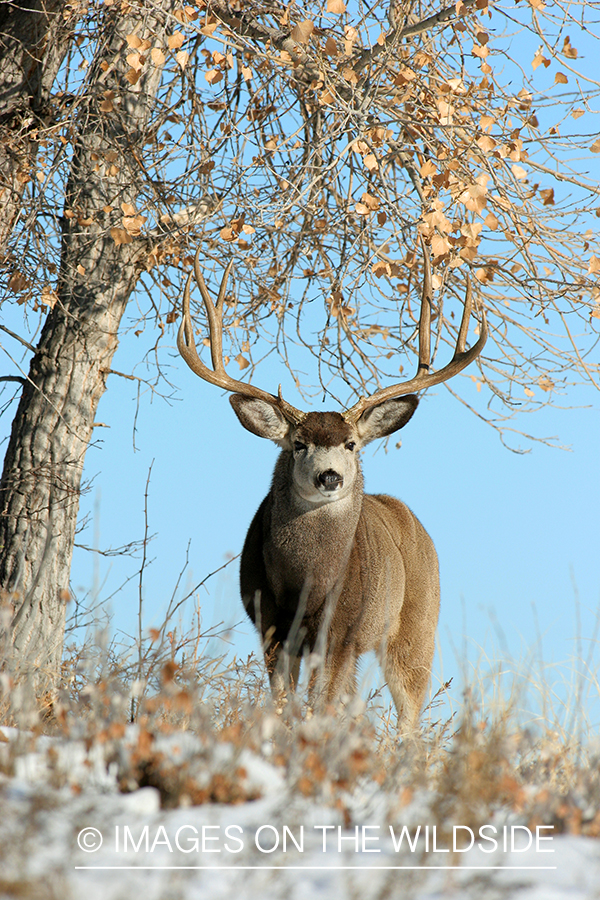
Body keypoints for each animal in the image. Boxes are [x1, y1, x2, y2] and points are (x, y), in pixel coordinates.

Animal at [178, 248, 488, 732]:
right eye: (298, 444)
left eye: (351, 444)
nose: (329, 477)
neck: (308, 582)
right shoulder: (270, 625)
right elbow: (284, 704)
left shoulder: (343, 631)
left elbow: (320, 706)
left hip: (417, 626)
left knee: (410, 716)